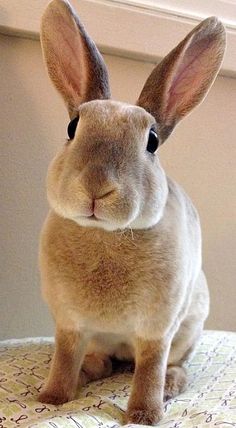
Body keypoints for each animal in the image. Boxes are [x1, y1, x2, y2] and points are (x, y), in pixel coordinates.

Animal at [37, 0, 226, 424]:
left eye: (152, 141)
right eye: (72, 127)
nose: (96, 186)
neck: (104, 234)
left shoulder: (157, 329)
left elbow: (149, 368)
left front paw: (143, 415)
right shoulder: (69, 324)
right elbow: (64, 357)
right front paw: (52, 398)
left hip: (189, 328)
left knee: (168, 364)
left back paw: (171, 384)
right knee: (101, 360)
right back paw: (89, 370)